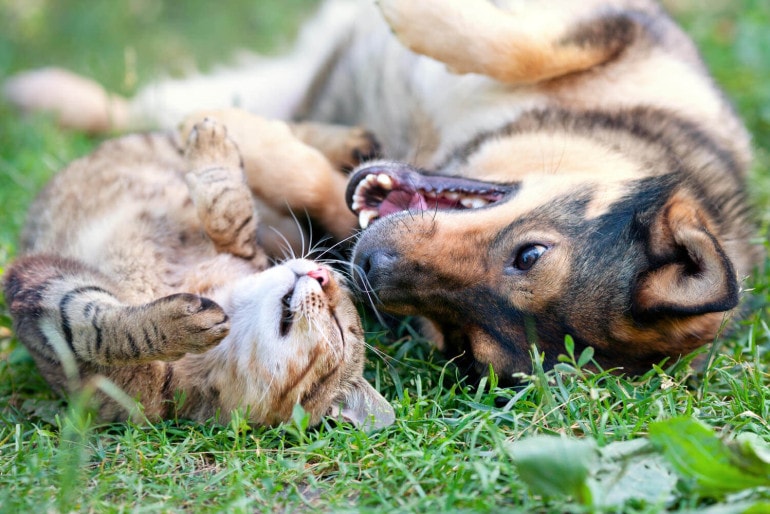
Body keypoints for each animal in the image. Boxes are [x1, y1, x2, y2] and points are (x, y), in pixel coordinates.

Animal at [3, 117, 392, 428]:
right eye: (339, 285)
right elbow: (230, 213)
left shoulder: (38, 290)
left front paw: (175, 325)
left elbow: (99, 331)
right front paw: (212, 148)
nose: (322, 273)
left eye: (339, 329)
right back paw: (353, 142)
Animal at [4, 0, 760, 382]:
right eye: (531, 255)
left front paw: (248, 141)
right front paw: (413, 14)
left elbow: (316, 184)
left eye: (464, 341)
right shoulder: (622, 28)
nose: (367, 267)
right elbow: (518, 41)